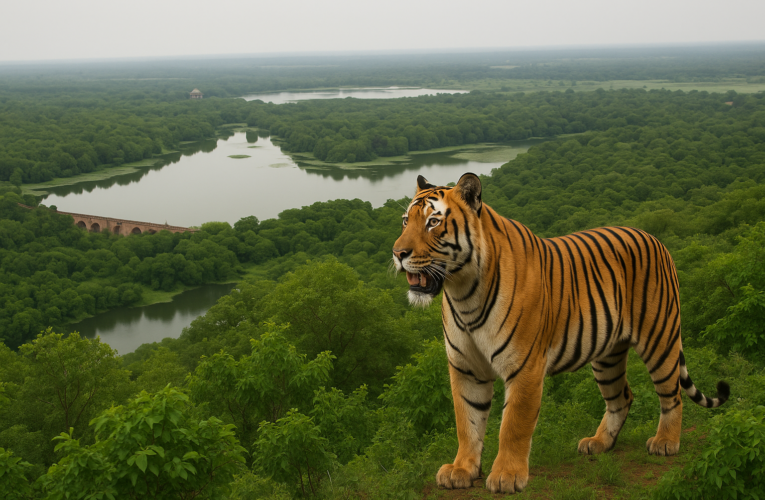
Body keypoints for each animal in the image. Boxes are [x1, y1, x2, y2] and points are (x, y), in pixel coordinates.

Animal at [392, 173, 730, 494]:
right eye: (406, 221)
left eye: (434, 222)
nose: (397, 253)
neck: (463, 292)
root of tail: (653, 237)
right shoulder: (465, 368)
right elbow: (467, 421)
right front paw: (461, 470)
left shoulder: (524, 366)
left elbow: (514, 424)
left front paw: (507, 476)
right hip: (607, 356)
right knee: (621, 397)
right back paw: (599, 443)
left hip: (659, 339)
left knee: (672, 394)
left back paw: (665, 442)